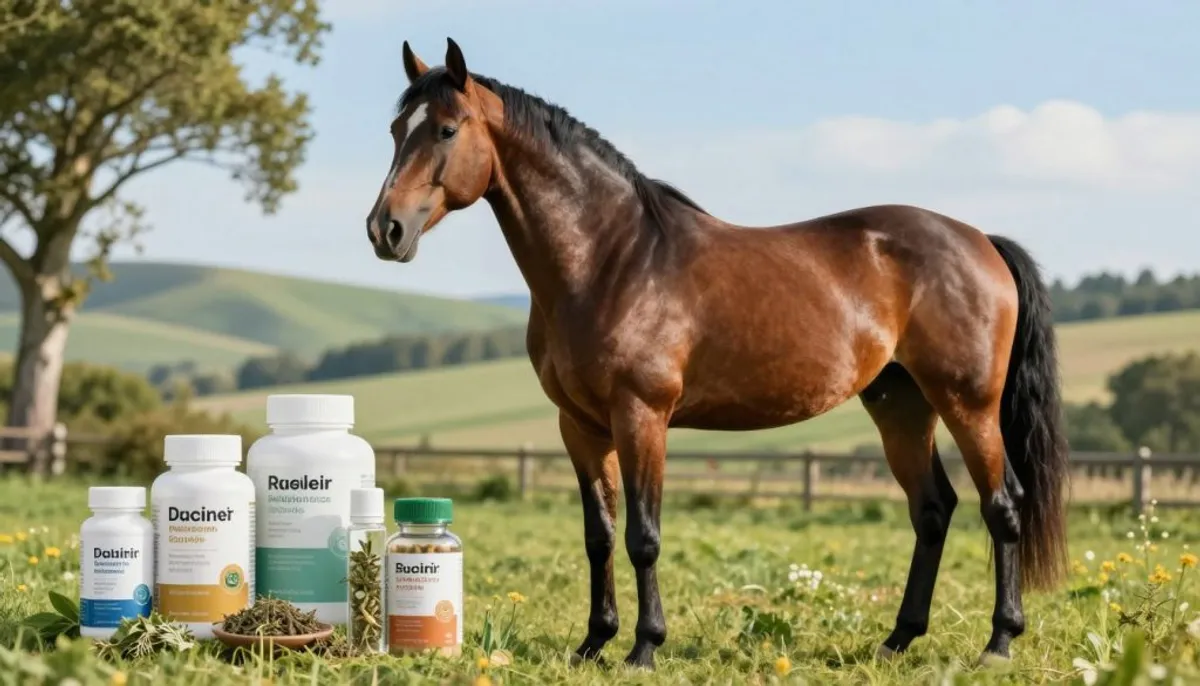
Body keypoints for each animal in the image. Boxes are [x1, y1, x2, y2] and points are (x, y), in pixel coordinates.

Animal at [366, 38, 1069, 670]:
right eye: (397, 129)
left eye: (448, 130)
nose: (384, 230)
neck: (610, 259)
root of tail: (980, 240)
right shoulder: (582, 427)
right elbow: (599, 536)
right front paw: (592, 644)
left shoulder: (642, 416)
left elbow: (643, 536)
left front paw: (644, 649)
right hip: (901, 404)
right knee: (932, 509)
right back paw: (898, 640)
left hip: (967, 403)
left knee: (1002, 505)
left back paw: (998, 643)